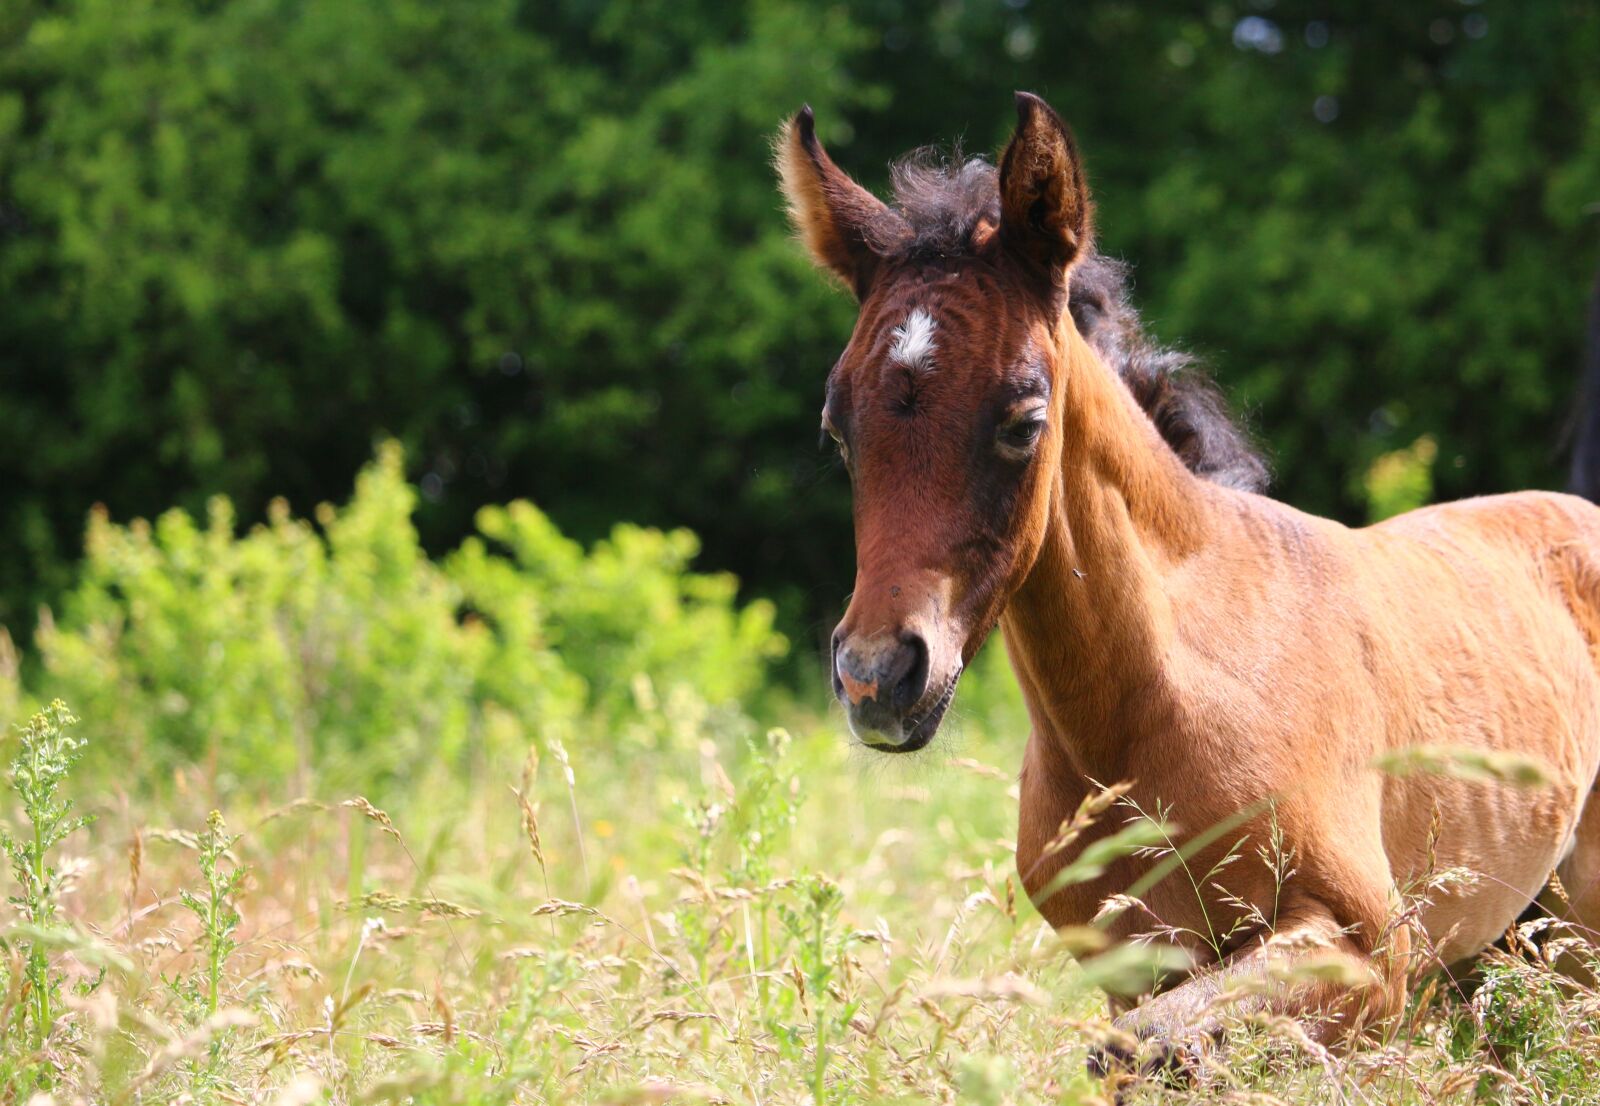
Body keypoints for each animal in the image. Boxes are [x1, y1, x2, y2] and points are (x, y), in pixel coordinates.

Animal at [775, 91, 1600, 1070]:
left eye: (1024, 419)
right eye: (838, 426)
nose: (877, 678)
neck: (1155, 704)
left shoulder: (1370, 954)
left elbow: (1141, 1047)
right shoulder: (1134, 968)